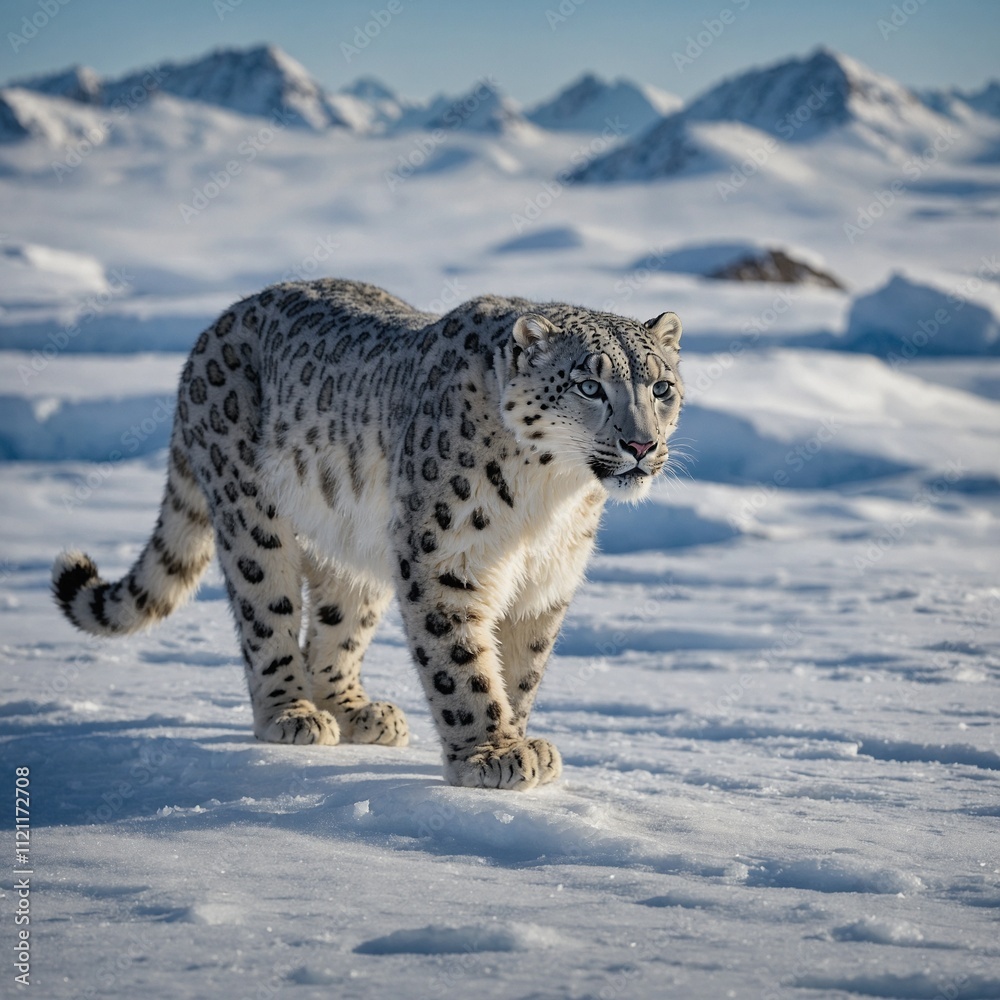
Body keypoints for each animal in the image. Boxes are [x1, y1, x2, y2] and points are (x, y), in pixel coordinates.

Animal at [52, 278, 683, 790]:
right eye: (588, 386)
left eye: (662, 388)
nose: (641, 444)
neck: (550, 499)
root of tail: (214, 327)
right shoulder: (444, 557)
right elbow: (461, 664)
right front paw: (489, 754)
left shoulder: (547, 578)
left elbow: (521, 666)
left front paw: (517, 738)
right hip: (252, 520)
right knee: (267, 617)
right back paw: (293, 715)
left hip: (355, 544)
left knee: (336, 625)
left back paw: (358, 711)